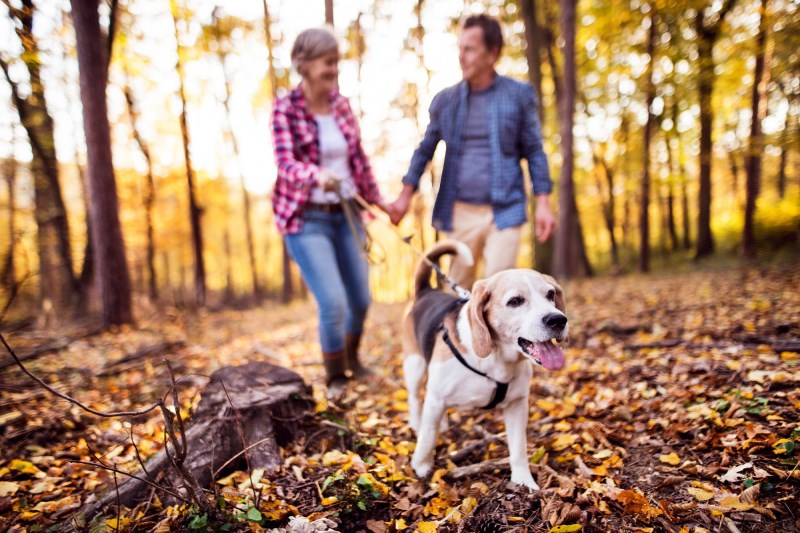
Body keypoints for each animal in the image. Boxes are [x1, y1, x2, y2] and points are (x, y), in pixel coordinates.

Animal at [404, 239, 564, 488]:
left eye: (550, 294)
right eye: (515, 301)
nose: (558, 320)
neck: (496, 359)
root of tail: (426, 291)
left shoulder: (517, 405)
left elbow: (518, 448)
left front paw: (523, 481)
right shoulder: (436, 397)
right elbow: (428, 437)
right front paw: (421, 466)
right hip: (415, 366)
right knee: (414, 398)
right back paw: (416, 422)